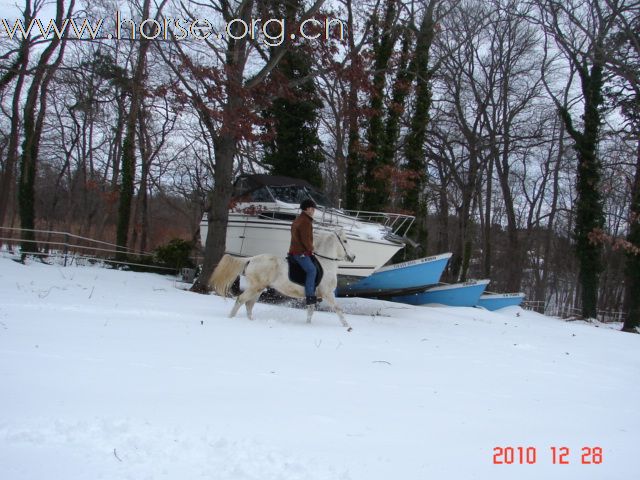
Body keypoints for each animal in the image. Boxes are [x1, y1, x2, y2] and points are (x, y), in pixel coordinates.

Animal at [209, 232, 356, 330]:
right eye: (345, 240)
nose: (353, 257)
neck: (326, 264)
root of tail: (252, 259)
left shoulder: (313, 296)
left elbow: (310, 311)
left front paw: (308, 325)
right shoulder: (327, 294)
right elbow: (338, 309)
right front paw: (347, 326)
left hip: (257, 289)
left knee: (249, 304)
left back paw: (251, 321)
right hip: (255, 288)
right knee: (241, 300)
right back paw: (231, 319)